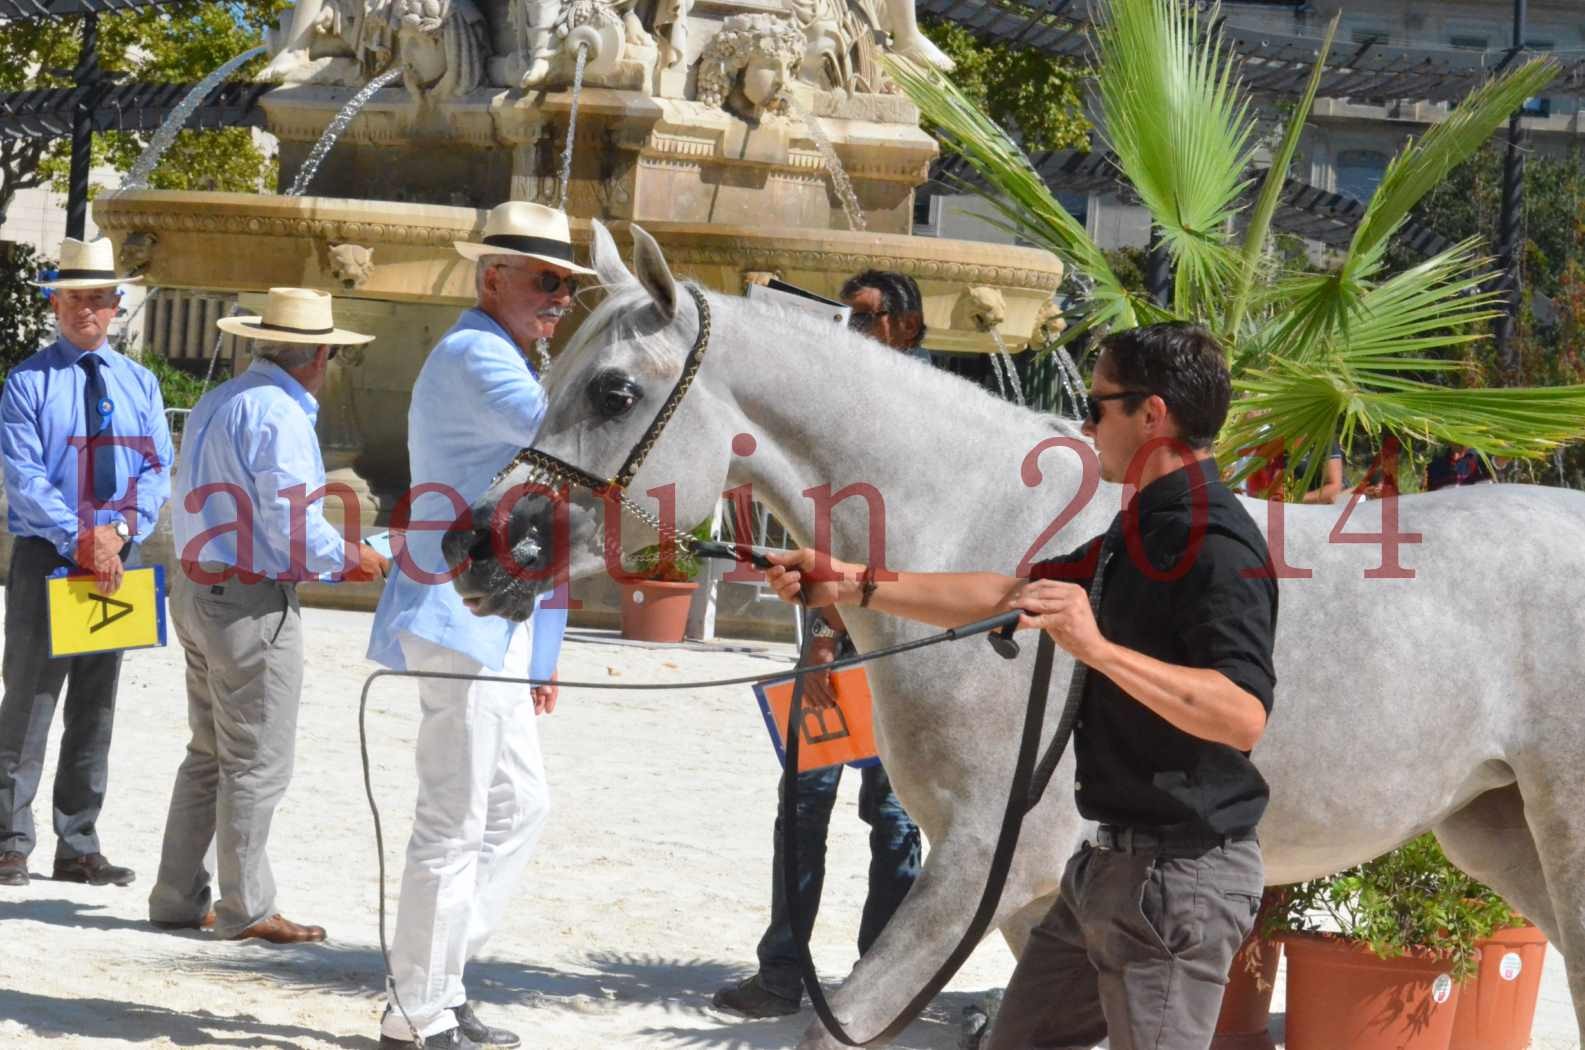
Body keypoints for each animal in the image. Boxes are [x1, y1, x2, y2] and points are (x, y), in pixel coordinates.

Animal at [440, 217, 1585, 1046]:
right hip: (1494, 826)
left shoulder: (974, 872)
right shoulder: (1037, 900)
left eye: (613, 390)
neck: (979, 524)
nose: (479, 546)